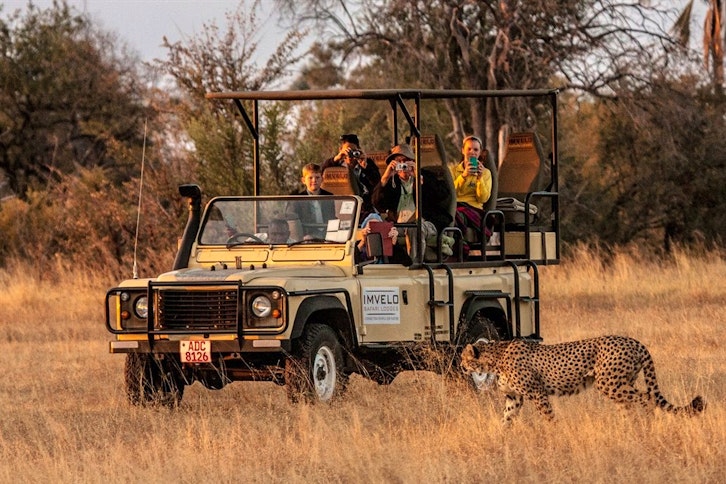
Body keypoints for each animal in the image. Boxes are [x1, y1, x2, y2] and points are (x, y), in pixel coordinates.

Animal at [460, 335, 705, 423]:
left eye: (464, 357)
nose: (461, 366)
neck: (495, 358)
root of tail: (633, 340)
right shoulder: (514, 397)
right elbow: (506, 419)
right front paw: (502, 438)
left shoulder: (537, 392)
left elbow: (548, 417)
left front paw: (554, 435)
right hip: (619, 384)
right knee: (630, 405)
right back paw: (629, 430)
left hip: (609, 384)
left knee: (647, 397)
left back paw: (648, 423)